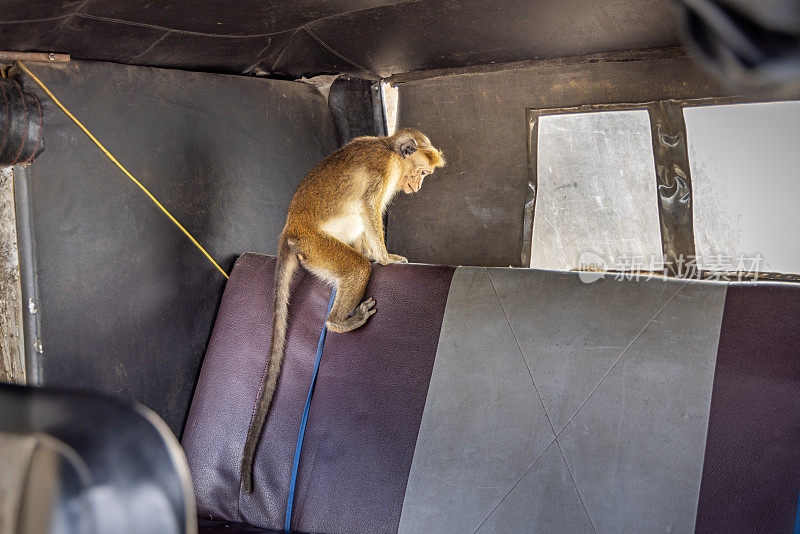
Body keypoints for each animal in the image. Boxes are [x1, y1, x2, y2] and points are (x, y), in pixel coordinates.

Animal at [241, 127, 446, 492]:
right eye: (422, 172)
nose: (418, 185)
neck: (388, 148)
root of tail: (291, 230)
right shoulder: (382, 169)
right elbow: (368, 207)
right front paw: (385, 258)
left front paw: (381, 255)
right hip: (317, 247)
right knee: (355, 268)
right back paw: (339, 321)